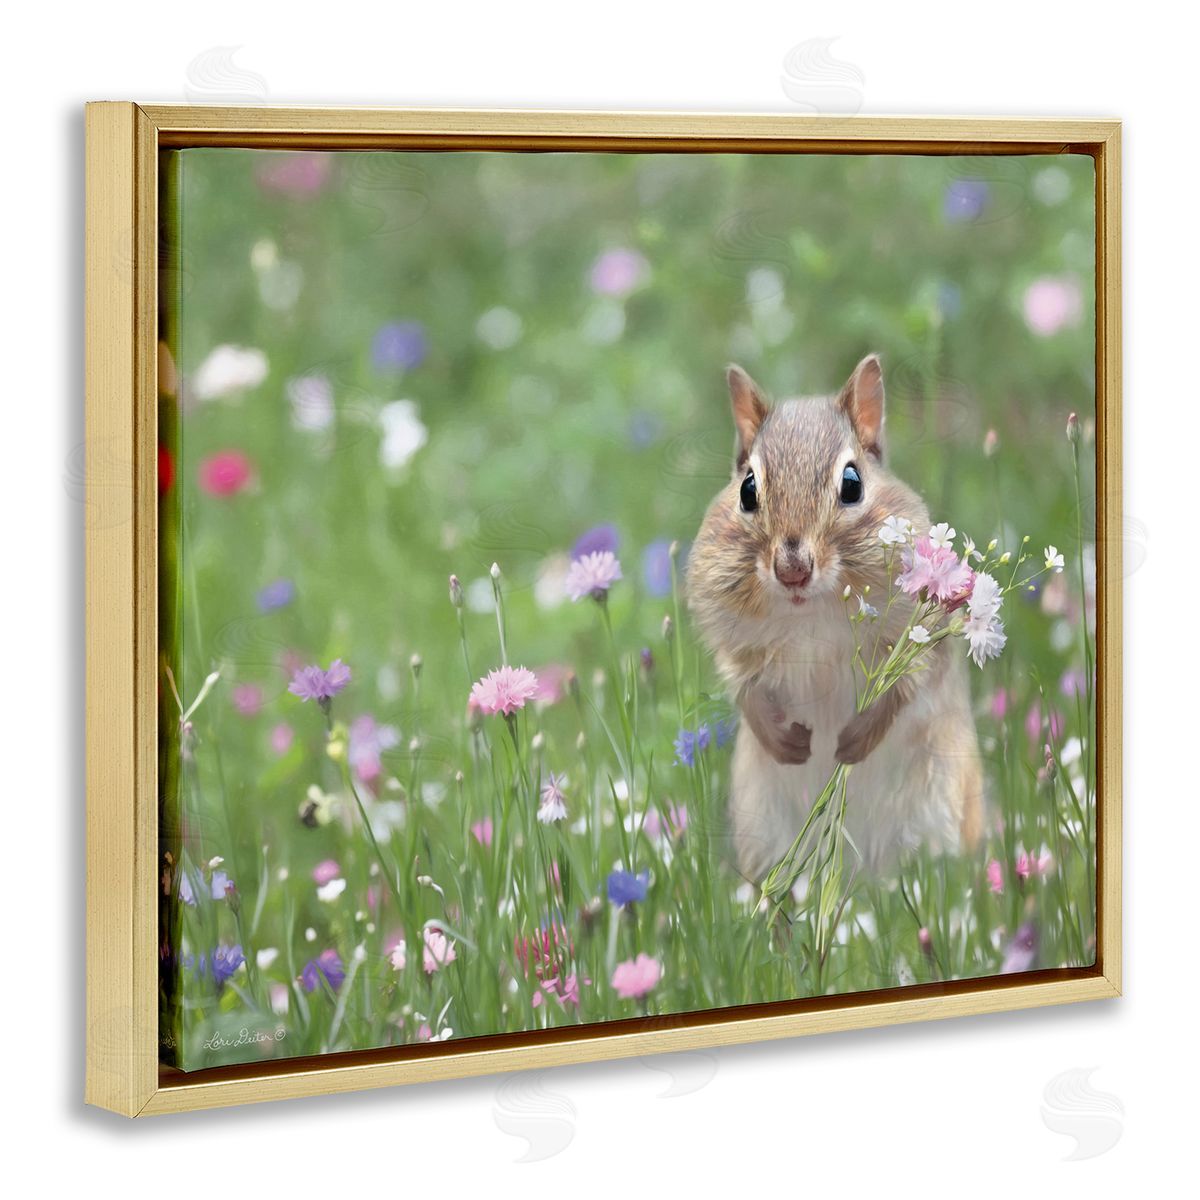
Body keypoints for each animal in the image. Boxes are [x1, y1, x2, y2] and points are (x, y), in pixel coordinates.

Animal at [687, 355, 984, 883]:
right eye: (747, 489)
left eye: (852, 484)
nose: (792, 570)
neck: (810, 613)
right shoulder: (731, 636)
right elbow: (742, 685)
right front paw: (784, 741)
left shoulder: (920, 636)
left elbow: (907, 686)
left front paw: (854, 742)